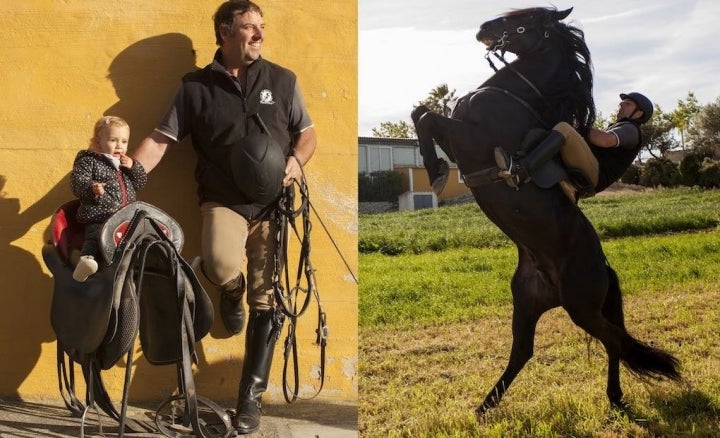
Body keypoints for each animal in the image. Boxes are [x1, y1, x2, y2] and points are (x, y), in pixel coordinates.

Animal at [410, 6, 680, 418]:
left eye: (526, 19)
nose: (484, 28)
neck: (509, 93)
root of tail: (604, 267)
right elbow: (420, 112)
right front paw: (435, 168)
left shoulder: (471, 141)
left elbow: (427, 118)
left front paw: (438, 174)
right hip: (527, 301)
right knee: (524, 351)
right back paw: (484, 408)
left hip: (581, 307)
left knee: (614, 341)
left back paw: (615, 398)